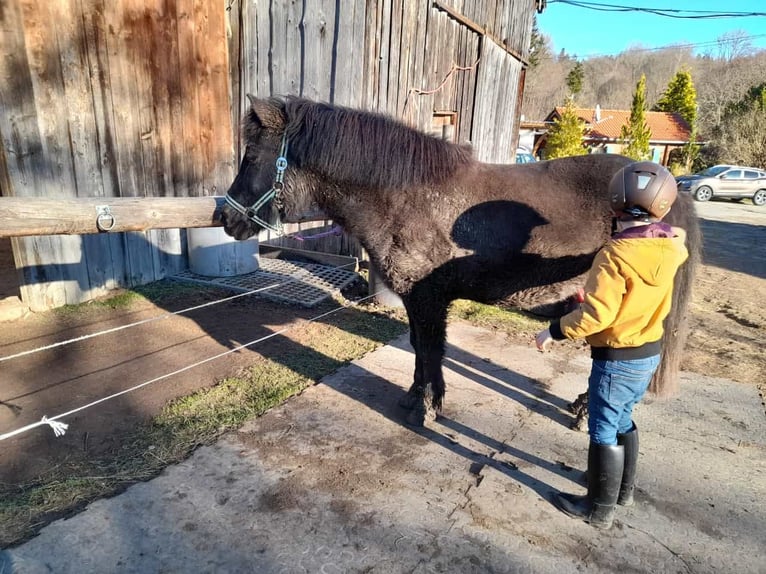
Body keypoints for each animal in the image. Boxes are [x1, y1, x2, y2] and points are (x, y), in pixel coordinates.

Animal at [220, 95, 704, 428]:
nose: (225, 217)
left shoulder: (428, 299)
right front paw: (415, 397)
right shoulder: (417, 301)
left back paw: (586, 413)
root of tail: (673, 191)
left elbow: (431, 349)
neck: (408, 197)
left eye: (252, 156)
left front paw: (426, 408)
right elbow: (419, 349)